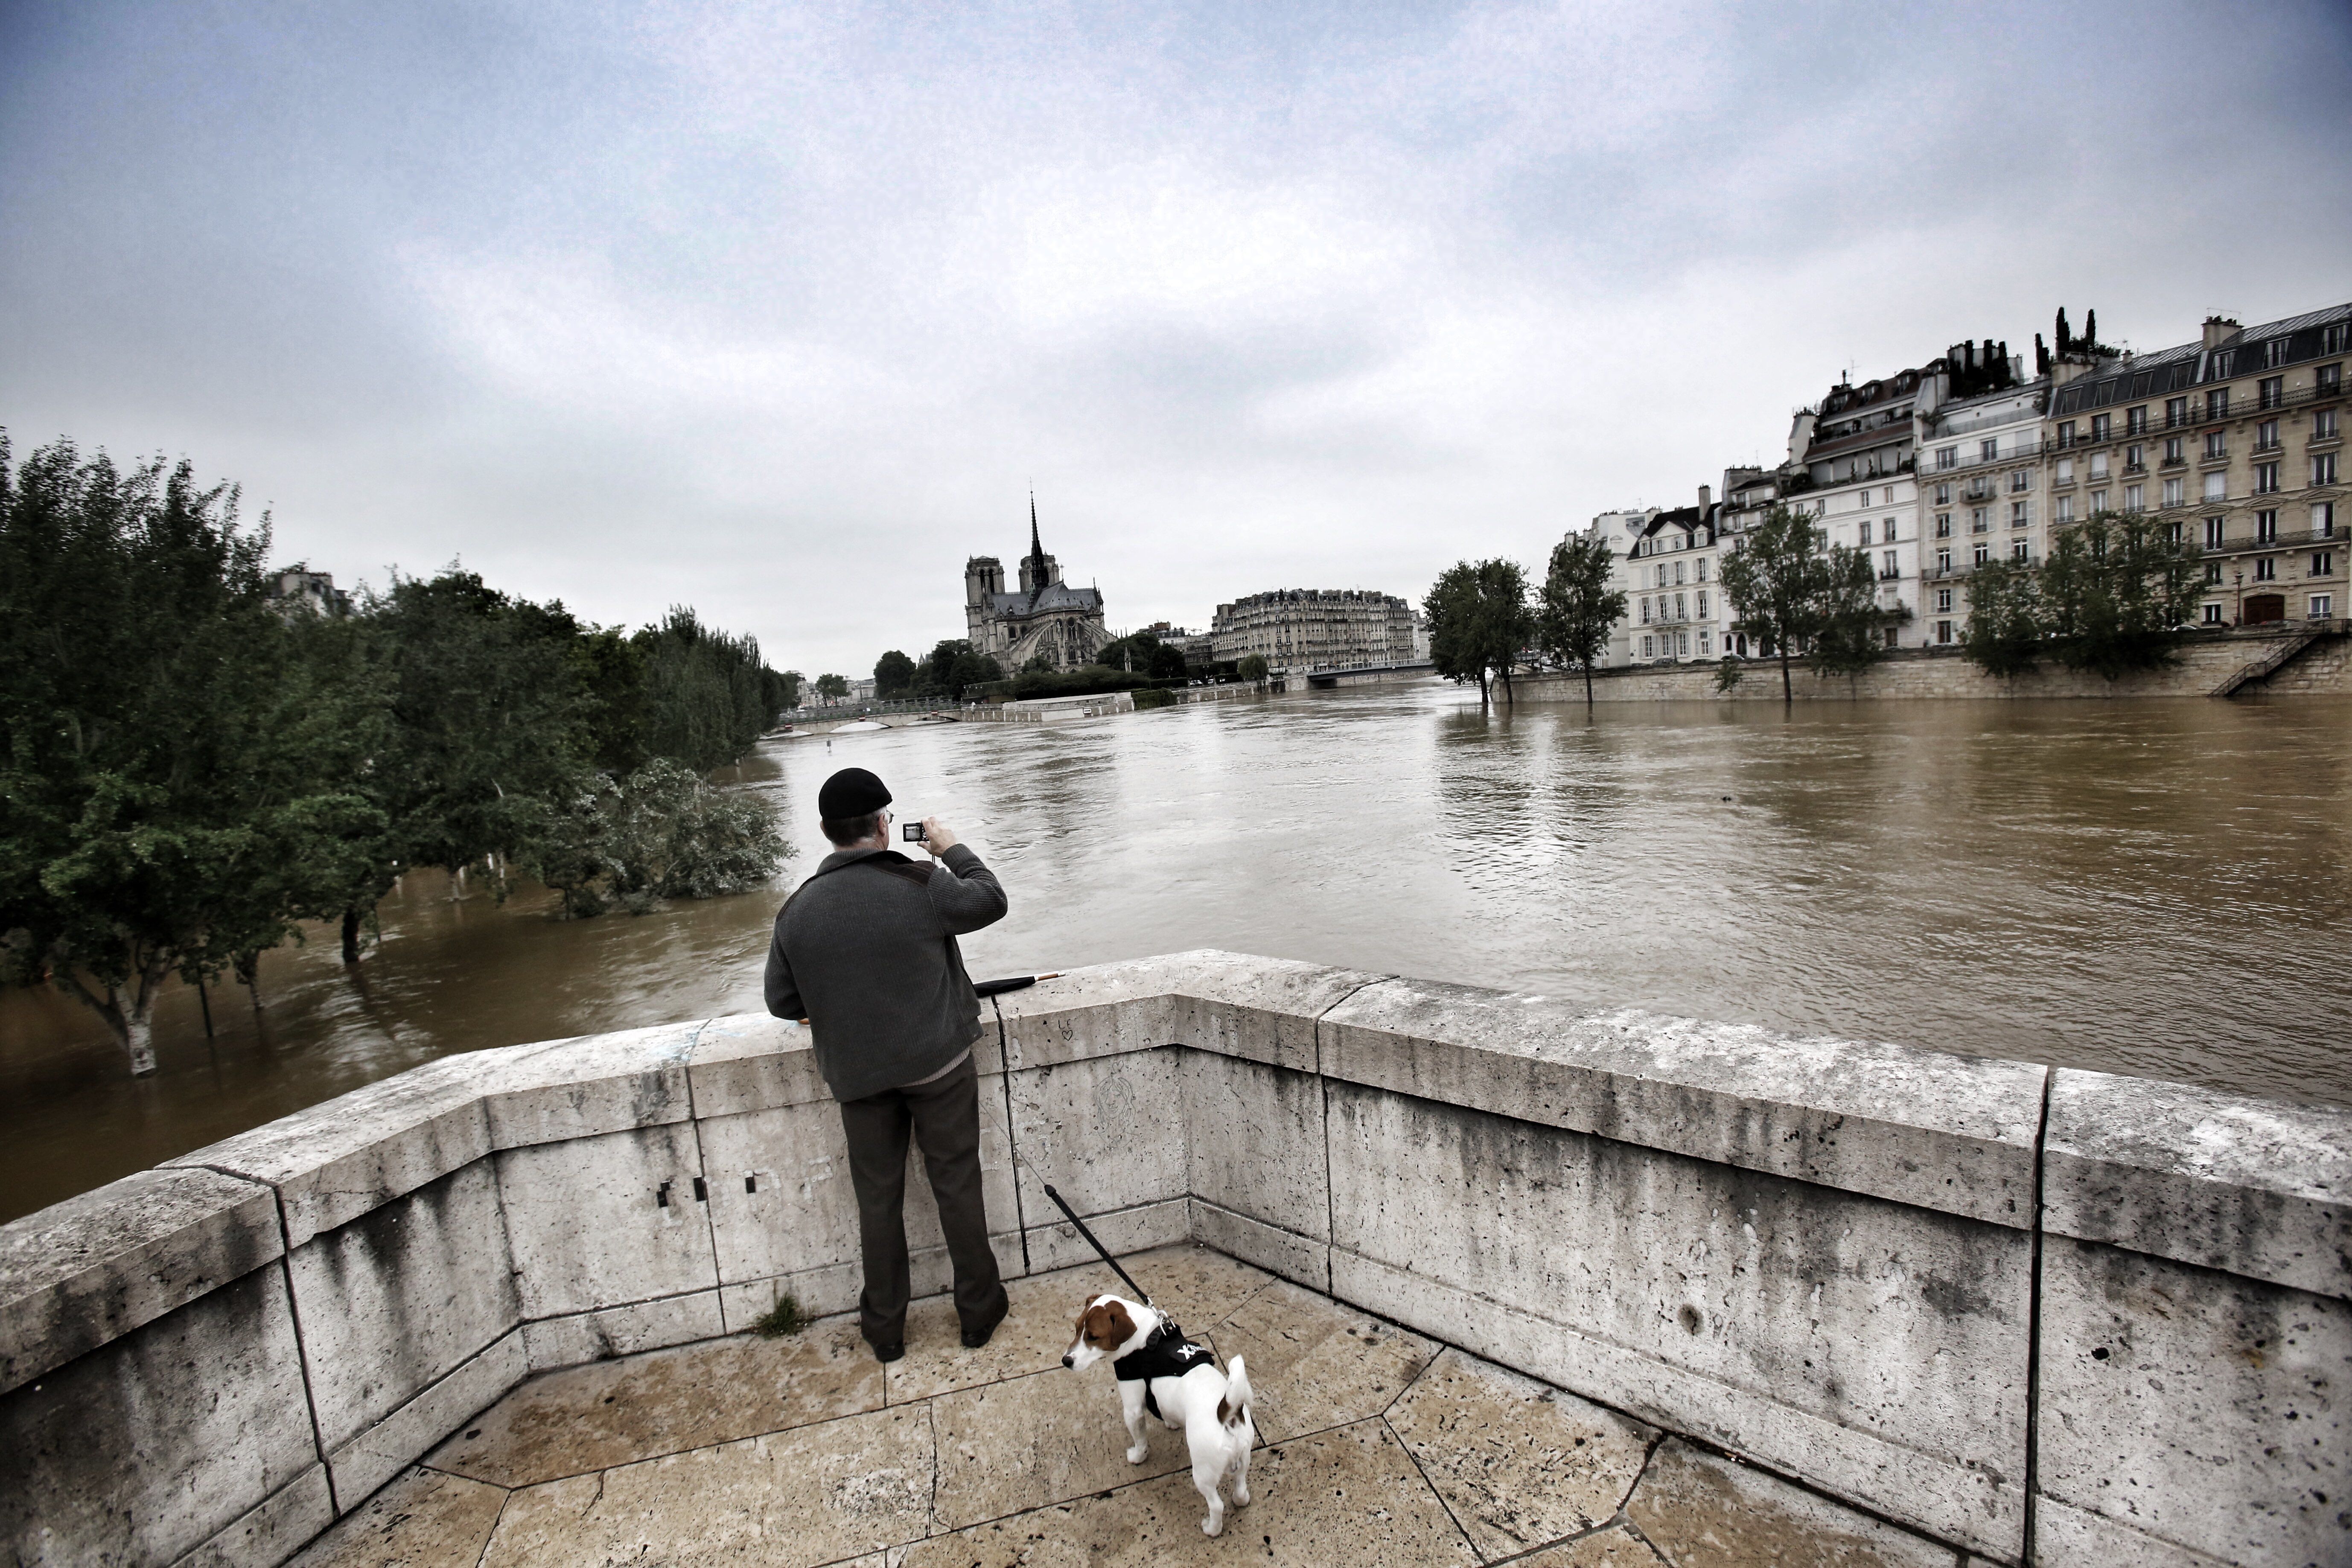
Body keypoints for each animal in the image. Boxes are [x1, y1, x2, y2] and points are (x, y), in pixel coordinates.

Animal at [1063, 1297, 1260, 1542]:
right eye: (1077, 1328)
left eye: (1093, 1337)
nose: (1066, 1361)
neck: (1144, 1337)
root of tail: (1226, 1413)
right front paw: (1171, 1423)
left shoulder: (1133, 1409)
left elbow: (1140, 1440)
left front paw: (1138, 1457)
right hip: (1244, 1458)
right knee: (1241, 1487)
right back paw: (1240, 1500)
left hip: (1203, 1473)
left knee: (1217, 1506)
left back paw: (1212, 1529)